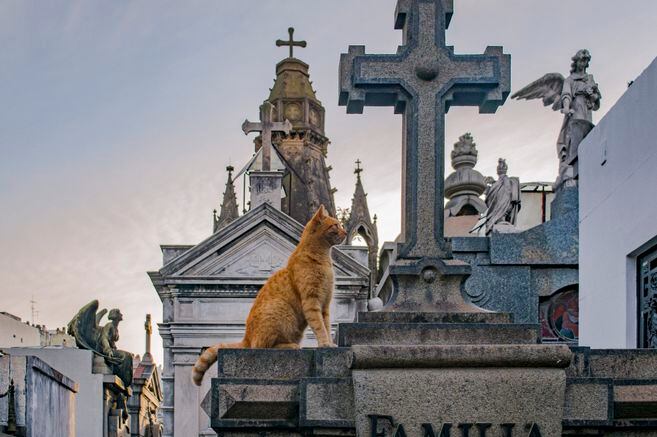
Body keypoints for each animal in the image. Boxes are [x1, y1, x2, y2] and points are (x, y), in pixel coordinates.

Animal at [191, 204, 348, 384]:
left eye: (340, 225)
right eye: (336, 225)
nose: (345, 232)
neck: (323, 258)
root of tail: (246, 337)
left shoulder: (325, 305)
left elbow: (327, 325)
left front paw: (330, 343)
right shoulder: (312, 301)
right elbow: (319, 326)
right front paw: (324, 344)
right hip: (279, 309)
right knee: (261, 347)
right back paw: (290, 346)